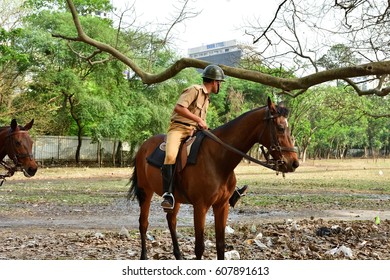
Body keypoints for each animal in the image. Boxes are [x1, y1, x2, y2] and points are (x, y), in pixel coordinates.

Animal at [128, 97, 298, 260]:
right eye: (281, 128)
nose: (294, 163)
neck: (218, 159)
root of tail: (143, 147)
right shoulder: (200, 207)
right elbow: (199, 248)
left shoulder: (222, 206)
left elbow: (220, 244)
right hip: (145, 192)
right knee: (143, 223)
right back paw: (144, 256)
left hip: (174, 198)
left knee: (171, 221)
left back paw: (178, 255)